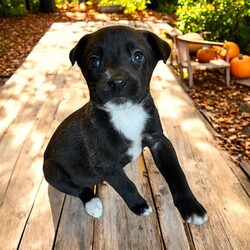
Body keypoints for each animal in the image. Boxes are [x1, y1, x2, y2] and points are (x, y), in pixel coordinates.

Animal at [43, 25, 207, 225]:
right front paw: (139, 205)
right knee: (78, 188)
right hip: (50, 169)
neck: (126, 114)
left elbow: (177, 173)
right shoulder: (106, 164)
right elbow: (126, 185)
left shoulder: (159, 142)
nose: (117, 82)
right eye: (94, 61)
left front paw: (191, 206)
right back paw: (93, 203)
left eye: (138, 56)